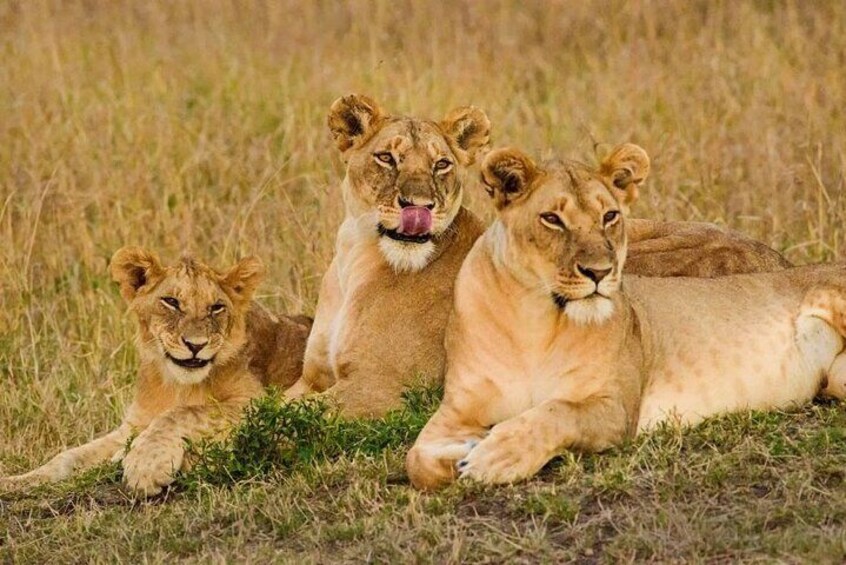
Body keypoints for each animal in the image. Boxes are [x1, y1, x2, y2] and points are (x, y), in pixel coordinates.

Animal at [0, 249, 312, 496]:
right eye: (171, 302)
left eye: (216, 307)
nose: (195, 345)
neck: (177, 384)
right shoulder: (133, 425)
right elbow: (68, 457)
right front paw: (17, 482)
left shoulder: (259, 402)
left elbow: (181, 413)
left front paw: (144, 467)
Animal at [290, 93, 788, 418]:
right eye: (386, 159)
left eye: (441, 164)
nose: (420, 206)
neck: (358, 259)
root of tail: (784, 264)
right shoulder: (312, 378)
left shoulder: (383, 387)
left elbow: (280, 417)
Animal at [408, 143, 844, 486]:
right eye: (552, 219)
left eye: (610, 216)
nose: (600, 272)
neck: (532, 315)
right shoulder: (458, 407)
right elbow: (417, 460)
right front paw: (467, 450)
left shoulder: (615, 407)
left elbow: (556, 413)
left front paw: (498, 454)